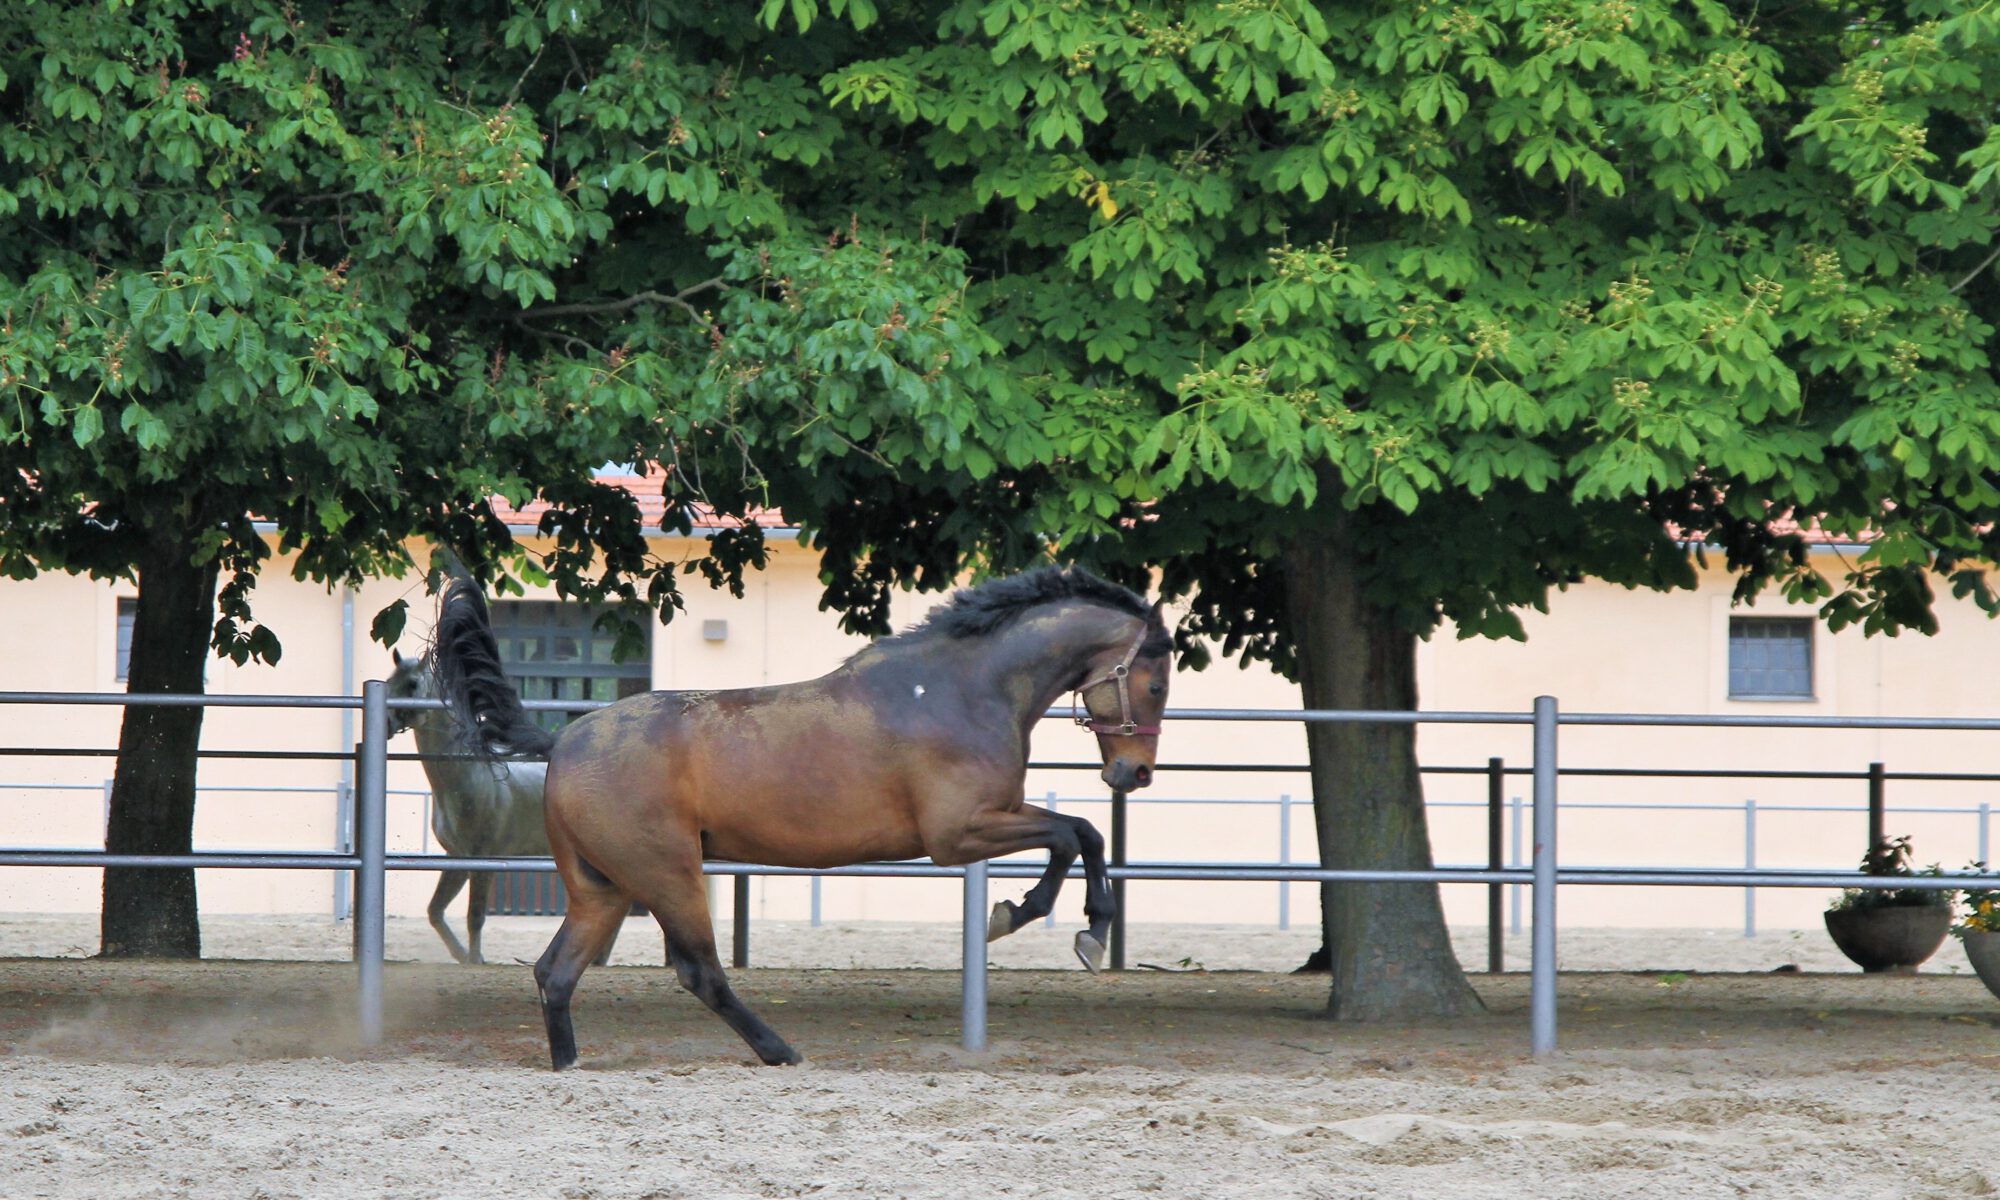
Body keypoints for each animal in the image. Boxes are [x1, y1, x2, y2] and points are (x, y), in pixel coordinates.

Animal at [430, 568, 1168, 1064]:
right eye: (1158, 681)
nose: (1133, 774)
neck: (960, 689)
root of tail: (563, 742)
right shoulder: (958, 834)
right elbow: (1074, 834)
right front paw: (1051, 921)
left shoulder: (991, 818)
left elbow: (1081, 833)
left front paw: (1069, 925)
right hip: (667, 876)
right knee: (698, 972)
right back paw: (780, 1050)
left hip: (602, 888)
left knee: (555, 972)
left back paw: (572, 1064)